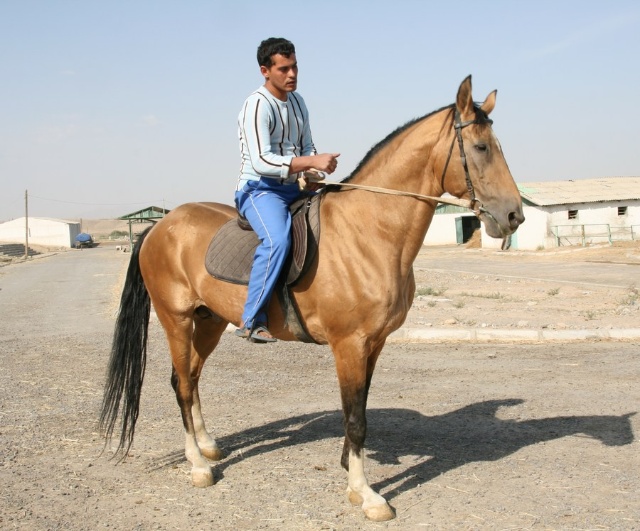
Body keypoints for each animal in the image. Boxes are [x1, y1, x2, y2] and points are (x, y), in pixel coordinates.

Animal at [97, 76, 524, 524]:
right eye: (481, 147)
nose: (514, 216)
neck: (368, 231)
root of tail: (160, 226)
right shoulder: (349, 344)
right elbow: (355, 419)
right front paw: (366, 494)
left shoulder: (373, 344)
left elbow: (359, 409)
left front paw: (350, 473)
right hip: (175, 318)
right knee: (181, 383)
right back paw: (198, 465)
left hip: (209, 320)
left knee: (192, 377)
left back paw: (208, 446)